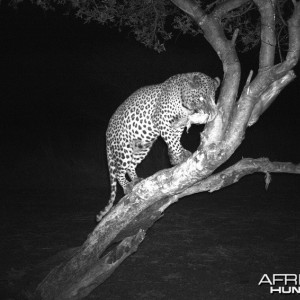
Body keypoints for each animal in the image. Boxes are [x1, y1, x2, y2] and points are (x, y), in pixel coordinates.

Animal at [96, 72, 220, 221]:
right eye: (202, 97)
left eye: (213, 98)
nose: (210, 113)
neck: (184, 104)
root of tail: (107, 132)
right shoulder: (163, 121)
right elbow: (173, 141)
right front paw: (179, 156)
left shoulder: (178, 125)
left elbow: (175, 139)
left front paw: (175, 157)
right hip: (123, 148)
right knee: (120, 170)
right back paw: (127, 186)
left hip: (141, 146)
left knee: (130, 165)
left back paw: (136, 180)